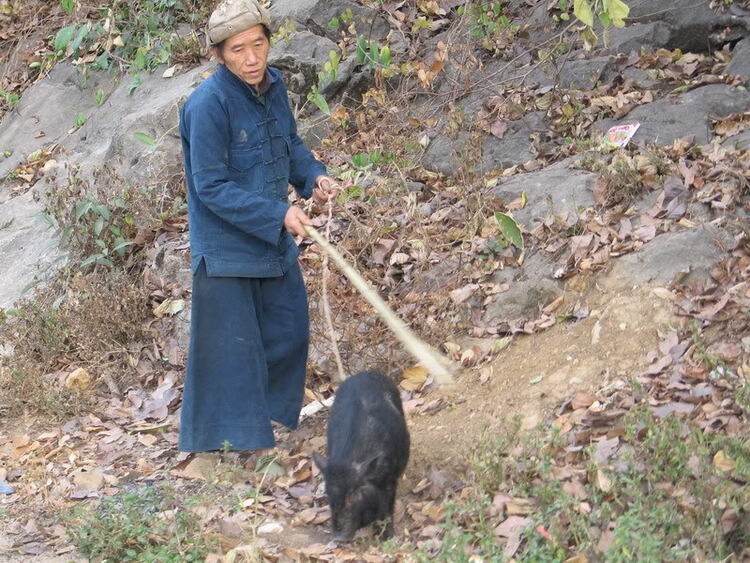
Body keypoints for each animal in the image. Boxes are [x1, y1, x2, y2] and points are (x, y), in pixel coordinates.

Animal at [314, 370, 414, 540]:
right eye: (328, 494)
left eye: (352, 495)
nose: (338, 537)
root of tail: (365, 372)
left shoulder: (389, 480)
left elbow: (386, 509)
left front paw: (387, 537)